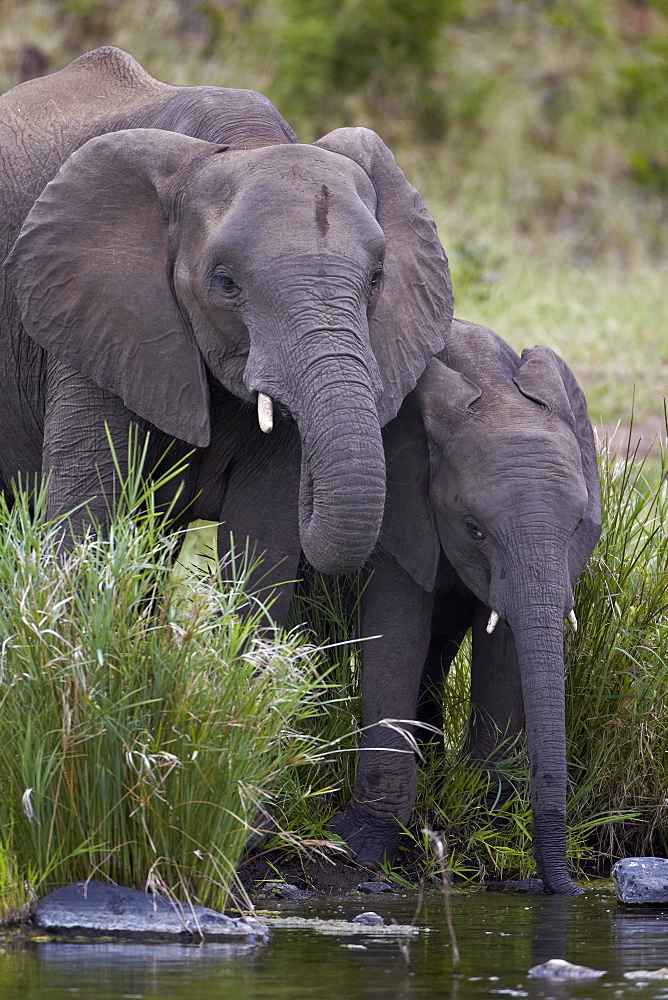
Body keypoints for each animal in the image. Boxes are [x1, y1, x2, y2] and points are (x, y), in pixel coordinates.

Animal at [1, 48, 454, 580]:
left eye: (378, 278)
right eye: (226, 283)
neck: (240, 143)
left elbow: (262, 538)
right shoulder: (92, 311)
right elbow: (88, 506)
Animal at [332, 316, 604, 896]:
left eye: (578, 526)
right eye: (474, 529)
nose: (570, 890)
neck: (490, 380)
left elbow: (502, 649)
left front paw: (488, 829)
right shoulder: (399, 508)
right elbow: (396, 635)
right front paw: (357, 847)